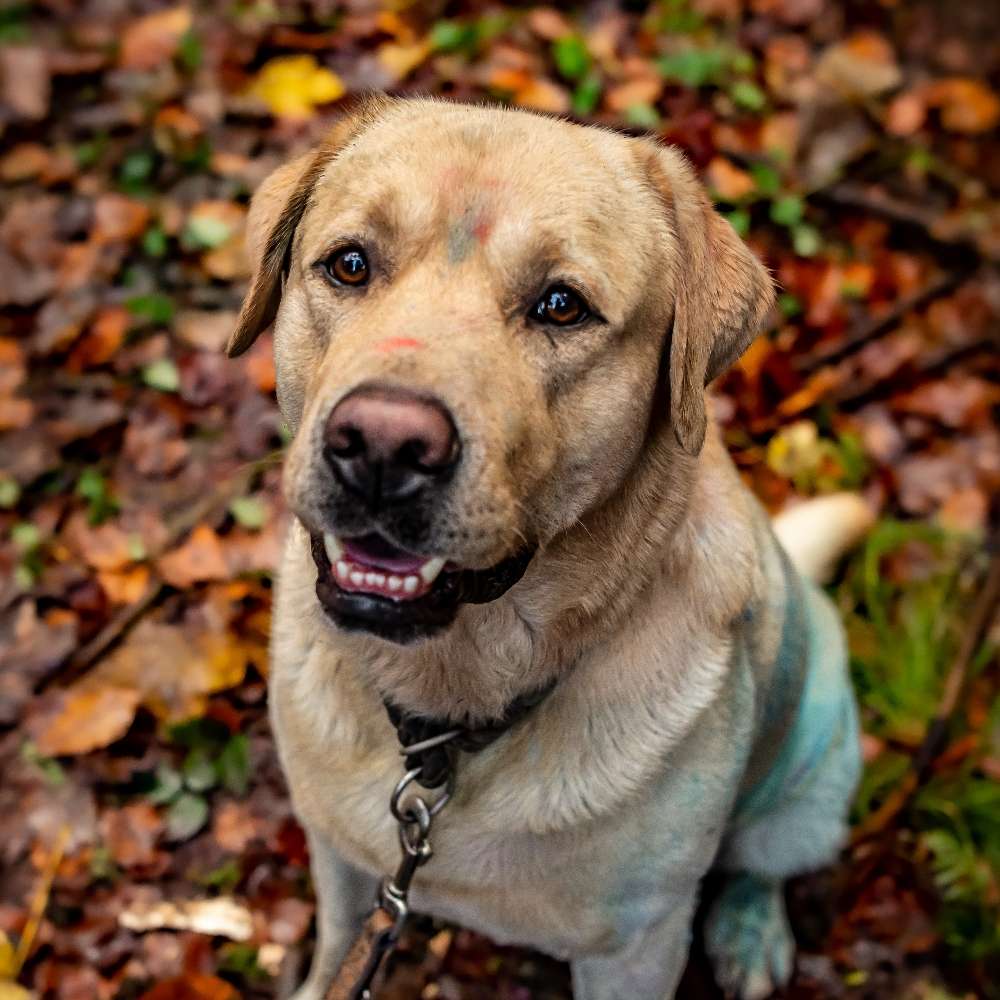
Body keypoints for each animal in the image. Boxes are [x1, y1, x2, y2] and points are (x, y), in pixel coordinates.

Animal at [227, 95, 860, 1000]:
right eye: (349, 264)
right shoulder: (342, 860)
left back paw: (750, 930)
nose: (382, 446)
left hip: (813, 779)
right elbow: (338, 945)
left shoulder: (637, 949)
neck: (448, 721)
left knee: (765, 861)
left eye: (562, 306)